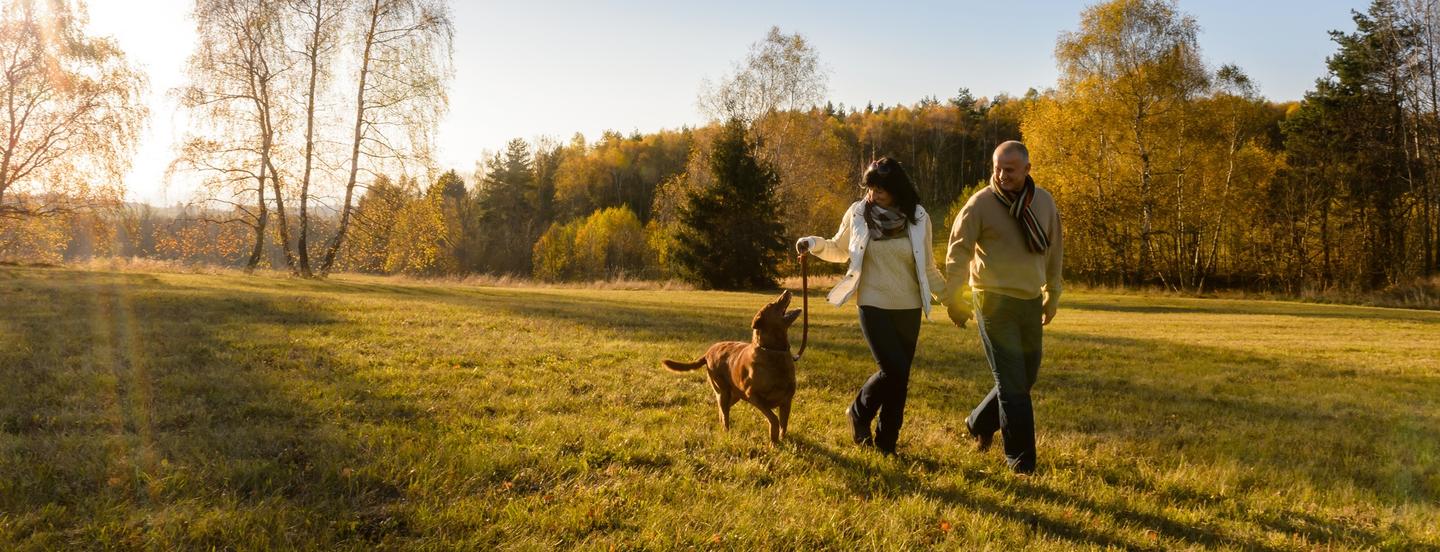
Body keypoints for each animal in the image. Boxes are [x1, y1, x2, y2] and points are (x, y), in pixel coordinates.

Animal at [659, 291, 800, 443]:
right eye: (772, 305)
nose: (786, 291)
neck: (772, 350)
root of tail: (708, 352)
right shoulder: (753, 396)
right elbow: (774, 419)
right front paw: (774, 441)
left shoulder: (787, 400)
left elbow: (783, 424)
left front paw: (781, 440)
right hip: (723, 391)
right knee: (724, 413)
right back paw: (726, 432)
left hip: (734, 394)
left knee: (722, 411)